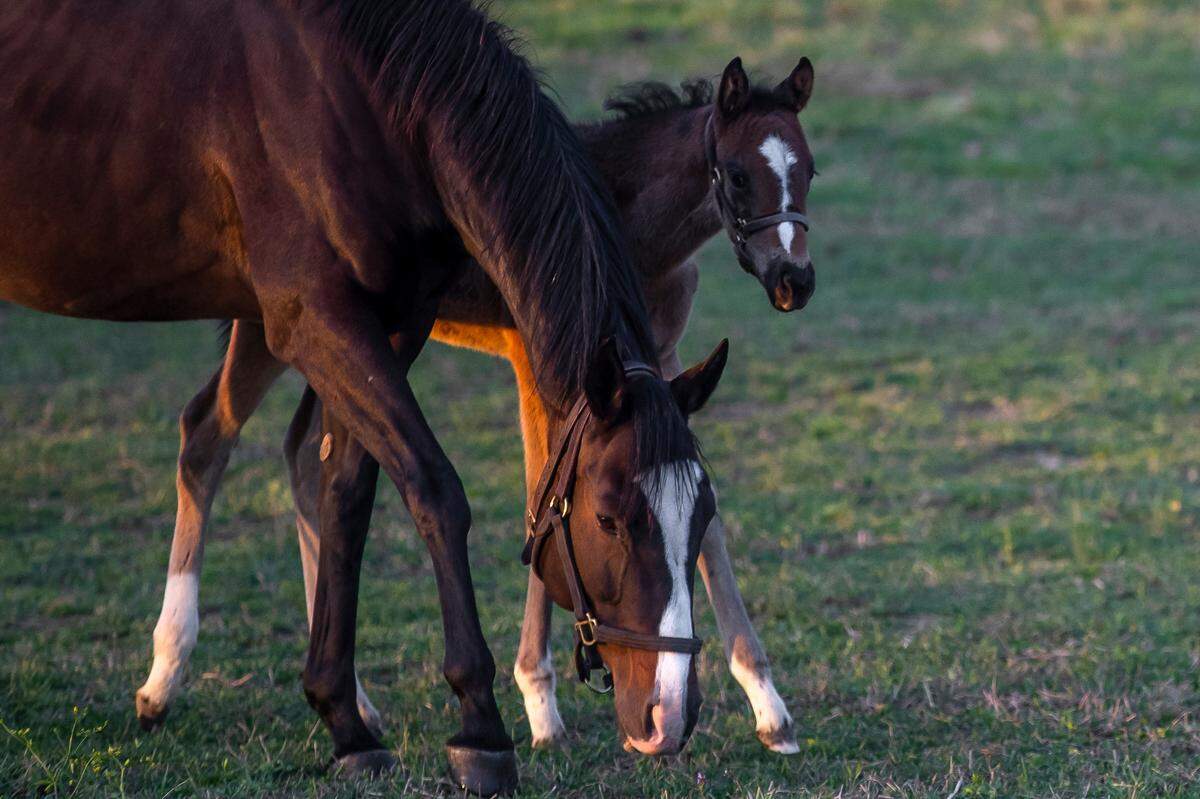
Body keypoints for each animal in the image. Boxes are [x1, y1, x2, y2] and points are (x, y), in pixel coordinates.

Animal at [0, 1, 730, 792]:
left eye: (701, 516)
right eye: (609, 518)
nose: (671, 716)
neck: (362, 96)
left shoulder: (394, 319)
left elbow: (347, 497)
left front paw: (342, 719)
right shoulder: (318, 321)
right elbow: (434, 490)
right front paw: (480, 727)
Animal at [136, 56, 819, 755]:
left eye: (810, 171)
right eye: (737, 174)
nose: (794, 281)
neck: (626, 219)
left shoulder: (660, 360)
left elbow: (707, 521)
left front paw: (769, 705)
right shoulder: (540, 364)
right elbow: (541, 490)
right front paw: (539, 699)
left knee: (302, 450)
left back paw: (355, 700)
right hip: (274, 323)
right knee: (207, 432)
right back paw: (163, 680)